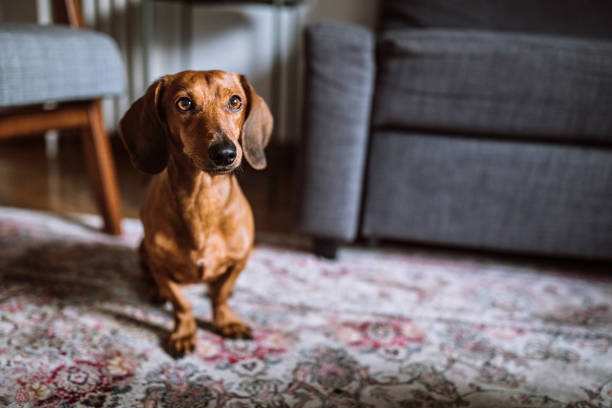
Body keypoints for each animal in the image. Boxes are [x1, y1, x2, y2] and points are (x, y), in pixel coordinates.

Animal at [118, 71, 272, 356]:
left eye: (235, 101)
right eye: (184, 103)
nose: (225, 153)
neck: (203, 199)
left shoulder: (239, 261)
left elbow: (221, 295)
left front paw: (226, 322)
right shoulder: (162, 268)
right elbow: (181, 305)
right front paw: (184, 333)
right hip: (143, 249)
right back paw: (155, 292)